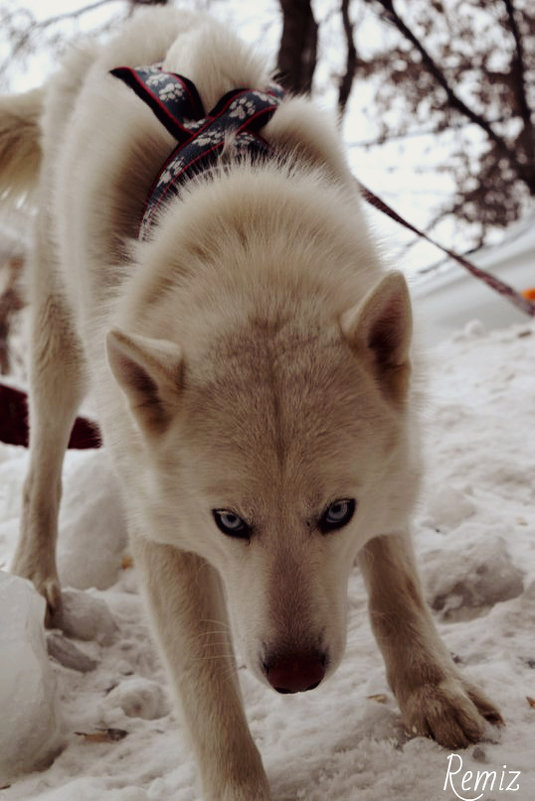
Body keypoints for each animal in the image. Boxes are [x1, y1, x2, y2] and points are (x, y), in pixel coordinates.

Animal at [0, 7, 502, 800]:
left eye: (337, 512)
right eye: (229, 521)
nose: (295, 675)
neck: (240, 226)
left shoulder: (388, 472)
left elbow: (395, 585)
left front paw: (432, 689)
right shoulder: (167, 537)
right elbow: (208, 689)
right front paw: (238, 780)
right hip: (59, 349)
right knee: (41, 470)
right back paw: (37, 576)